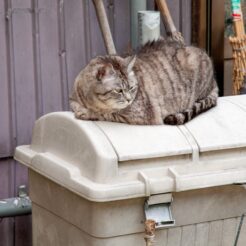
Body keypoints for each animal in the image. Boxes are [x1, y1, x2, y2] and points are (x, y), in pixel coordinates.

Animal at [70, 40, 218, 126]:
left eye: (132, 88)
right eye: (118, 90)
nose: (129, 99)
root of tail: (214, 81)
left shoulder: (140, 114)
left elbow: (106, 114)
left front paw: (86, 112)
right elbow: (76, 104)